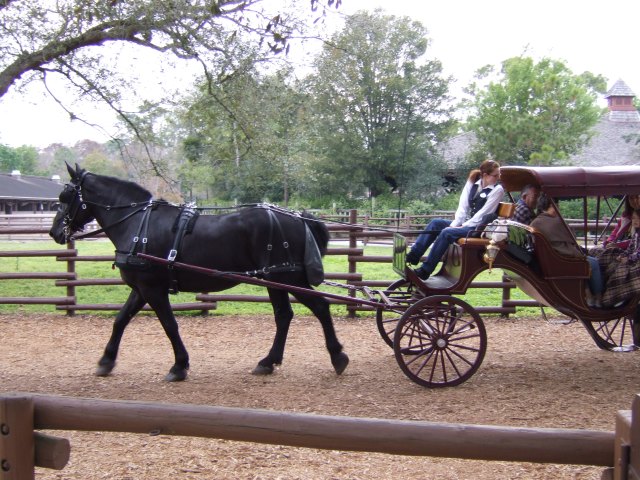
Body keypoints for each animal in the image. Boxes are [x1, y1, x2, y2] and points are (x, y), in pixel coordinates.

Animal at [49, 164, 349, 382]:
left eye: (65, 197)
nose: (54, 232)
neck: (138, 223)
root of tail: (299, 218)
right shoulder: (142, 289)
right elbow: (120, 320)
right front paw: (106, 361)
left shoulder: (152, 289)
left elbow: (169, 325)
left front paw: (179, 366)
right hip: (276, 279)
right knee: (285, 315)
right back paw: (268, 362)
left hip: (284, 277)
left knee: (319, 307)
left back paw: (337, 357)